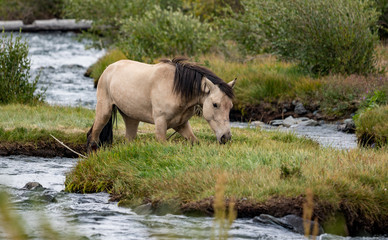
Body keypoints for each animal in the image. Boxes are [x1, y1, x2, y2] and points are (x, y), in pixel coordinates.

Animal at [86, 56, 235, 150]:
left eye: (231, 107)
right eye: (215, 104)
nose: (225, 137)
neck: (176, 89)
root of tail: (109, 68)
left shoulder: (181, 124)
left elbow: (195, 141)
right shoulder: (160, 124)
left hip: (131, 118)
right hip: (104, 112)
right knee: (93, 138)